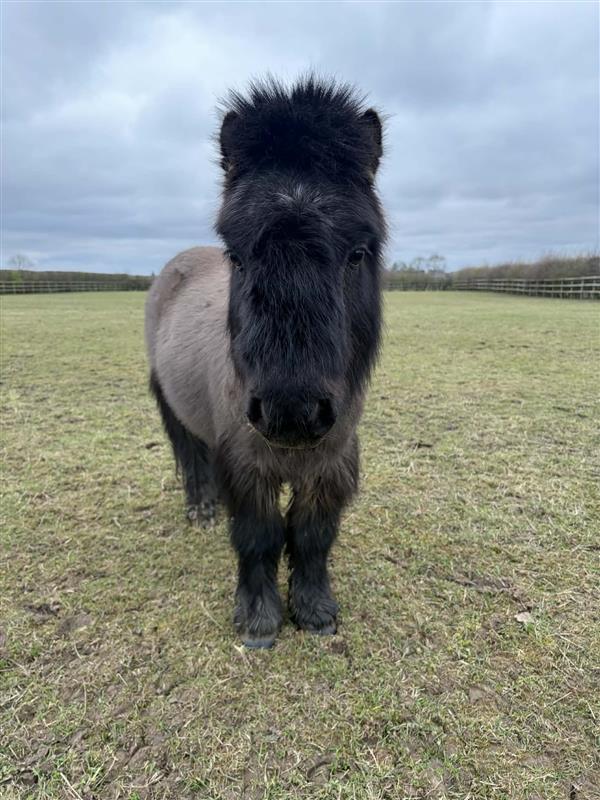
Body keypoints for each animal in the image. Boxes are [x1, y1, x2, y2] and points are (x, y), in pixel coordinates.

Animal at [145, 76, 387, 648]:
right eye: (236, 256)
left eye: (357, 254)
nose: (291, 411)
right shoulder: (248, 468)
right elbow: (259, 537)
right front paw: (258, 619)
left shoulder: (330, 466)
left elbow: (312, 535)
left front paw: (316, 611)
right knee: (191, 456)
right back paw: (201, 508)